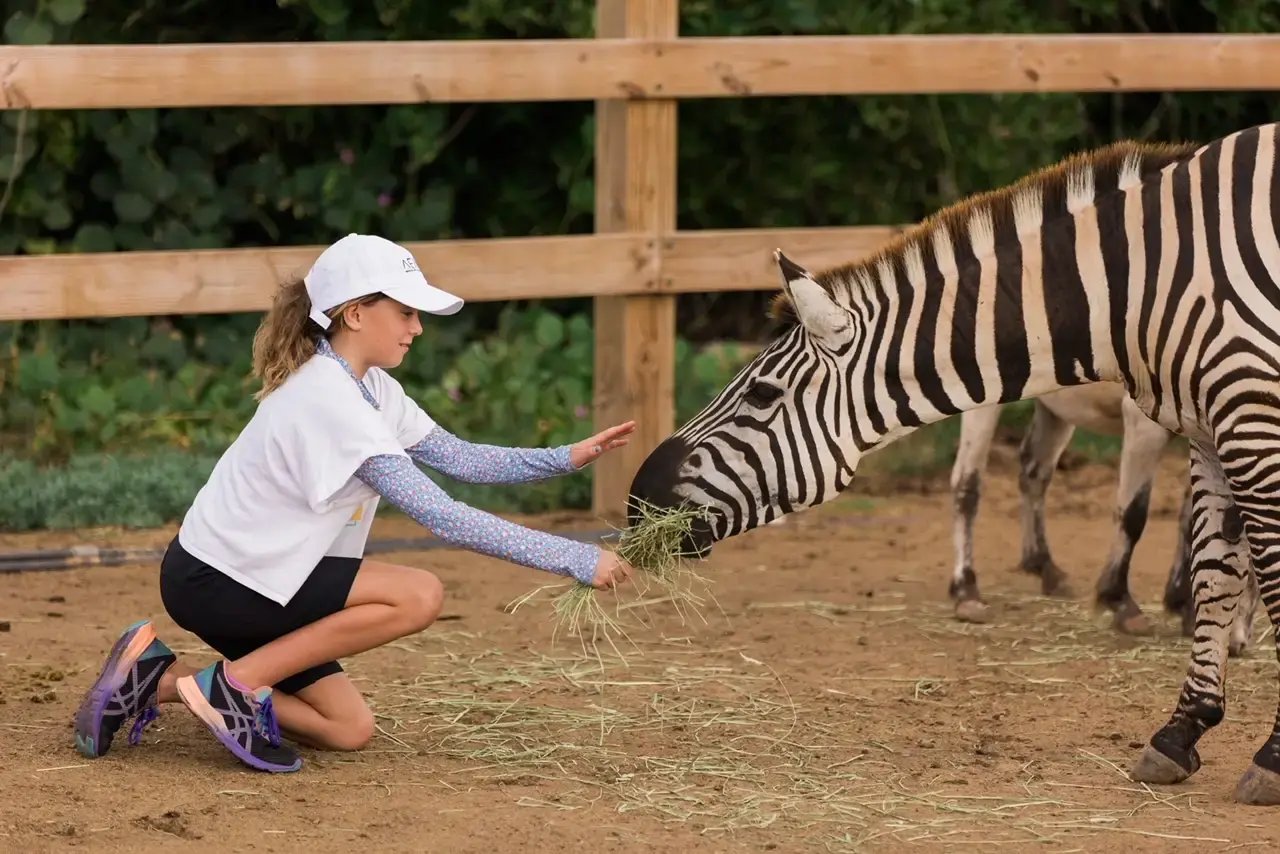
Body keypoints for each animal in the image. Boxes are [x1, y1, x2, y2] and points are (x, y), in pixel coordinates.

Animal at [627, 122, 1280, 804]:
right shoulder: (1204, 423)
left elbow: (1241, 559)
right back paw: (983, 587)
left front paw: (1259, 745)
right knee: (988, 480)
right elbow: (1210, 563)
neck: (1143, 282)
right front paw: (1181, 721)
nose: (640, 494)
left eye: (760, 394)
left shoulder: (1237, 413)